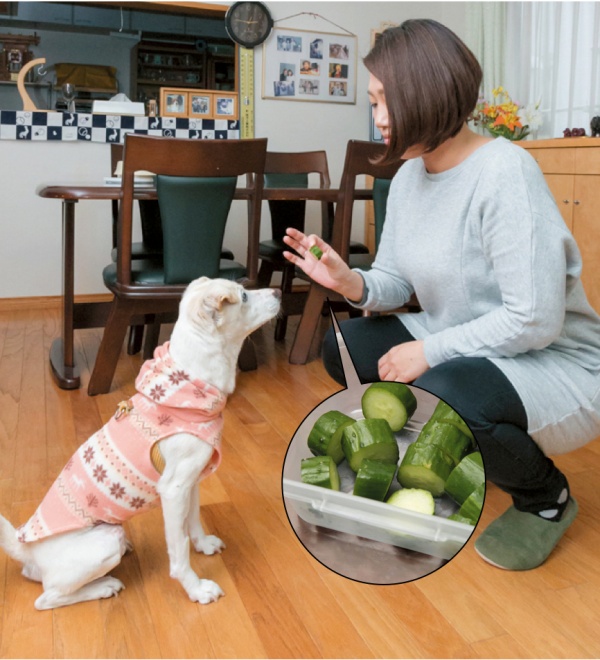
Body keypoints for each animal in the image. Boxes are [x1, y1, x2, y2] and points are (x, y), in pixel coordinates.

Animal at [0, 277, 280, 610]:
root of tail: (26, 550)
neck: (192, 386)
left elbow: (193, 520)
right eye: (244, 296)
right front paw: (197, 589)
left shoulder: (191, 482)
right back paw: (104, 586)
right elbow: (179, 550)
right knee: (48, 598)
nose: (278, 291)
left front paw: (204, 544)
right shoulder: (173, 490)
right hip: (106, 541)